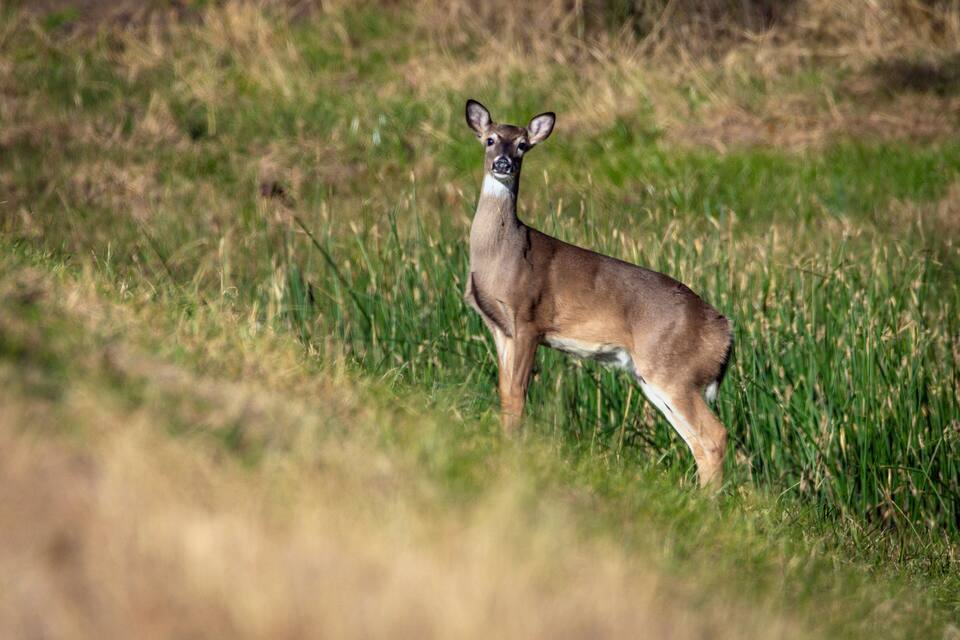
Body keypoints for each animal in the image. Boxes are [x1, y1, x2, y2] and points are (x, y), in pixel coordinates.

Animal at [462, 99, 734, 487]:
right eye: (489, 139)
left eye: (522, 145)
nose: (503, 163)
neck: (501, 255)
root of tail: (724, 328)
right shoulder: (501, 328)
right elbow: (505, 395)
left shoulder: (528, 319)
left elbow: (517, 397)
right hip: (655, 375)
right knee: (697, 440)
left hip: (673, 370)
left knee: (714, 435)